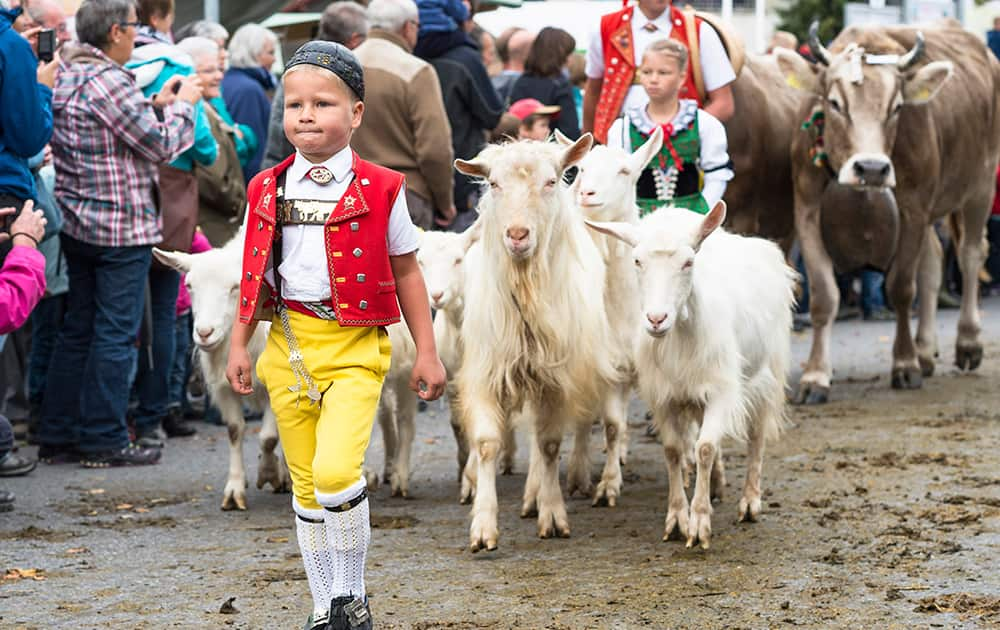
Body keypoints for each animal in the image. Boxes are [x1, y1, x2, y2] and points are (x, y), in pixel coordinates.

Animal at [153, 235, 290, 512]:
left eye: (236, 287)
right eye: (189, 285)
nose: (204, 333)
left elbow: (268, 437)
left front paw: (269, 472)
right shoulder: (225, 386)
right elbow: (235, 431)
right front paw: (235, 488)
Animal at [456, 136, 624, 552]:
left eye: (550, 182)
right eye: (494, 184)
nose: (517, 235)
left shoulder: (555, 377)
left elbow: (548, 444)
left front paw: (552, 512)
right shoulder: (486, 370)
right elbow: (487, 443)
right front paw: (483, 526)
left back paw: (540, 492)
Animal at [588, 205, 792, 552]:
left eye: (688, 262)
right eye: (637, 261)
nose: (656, 319)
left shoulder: (722, 390)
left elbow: (705, 448)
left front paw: (699, 525)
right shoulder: (664, 395)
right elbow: (673, 450)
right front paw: (676, 520)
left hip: (766, 376)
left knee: (757, 438)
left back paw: (750, 503)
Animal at [772, 22, 1000, 404]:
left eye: (896, 107)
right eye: (834, 103)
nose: (872, 169)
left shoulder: (913, 208)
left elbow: (902, 288)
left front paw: (905, 364)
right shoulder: (806, 209)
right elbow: (823, 296)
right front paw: (815, 376)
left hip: (980, 185)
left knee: (970, 255)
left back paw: (967, 342)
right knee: (934, 262)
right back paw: (925, 351)